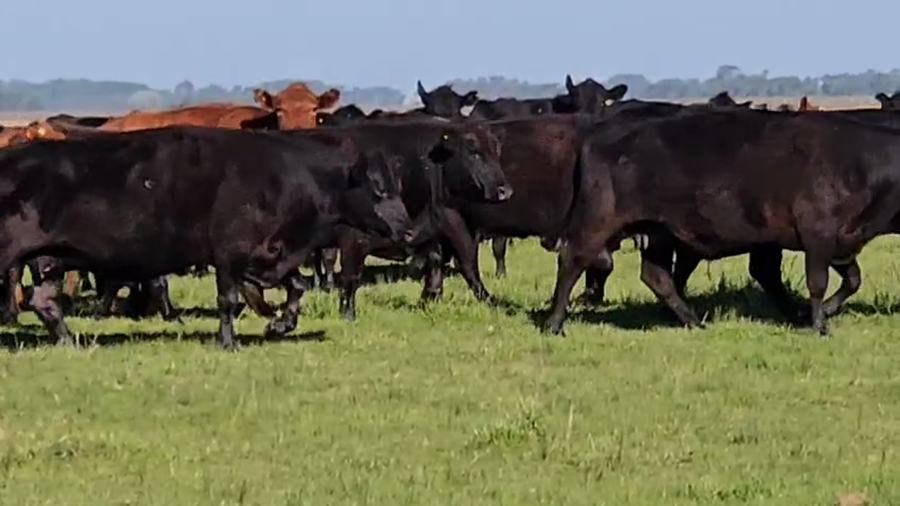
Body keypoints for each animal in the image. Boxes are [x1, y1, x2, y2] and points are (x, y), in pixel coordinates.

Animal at [0, 126, 411, 349]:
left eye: (396, 186)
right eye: (378, 189)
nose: (407, 229)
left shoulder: (269, 255)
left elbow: (297, 287)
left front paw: (278, 325)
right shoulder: (229, 253)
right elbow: (228, 300)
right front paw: (229, 342)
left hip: (52, 258)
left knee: (43, 300)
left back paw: (69, 341)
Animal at [541, 108, 900, 336]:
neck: (858, 161)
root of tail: (599, 136)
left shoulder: (843, 242)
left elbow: (852, 280)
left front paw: (821, 313)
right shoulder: (818, 236)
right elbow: (818, 282)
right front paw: (818, 325)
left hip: (658, 231)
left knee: (657, 275)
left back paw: (693, 322)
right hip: (598, 221)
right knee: (572, 260)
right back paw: (554, 324)